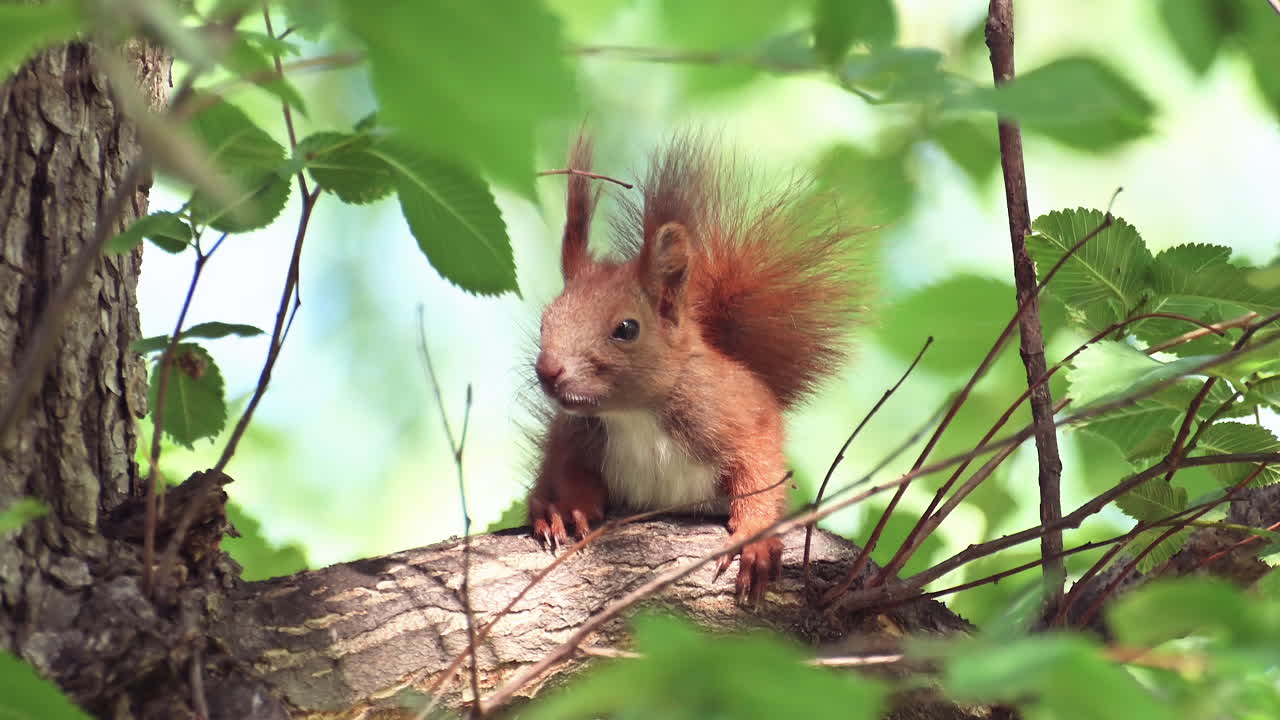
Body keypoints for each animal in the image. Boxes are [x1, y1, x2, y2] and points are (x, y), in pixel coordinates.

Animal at [528, 135, 864, 604]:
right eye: (545, 321)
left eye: (626, 328)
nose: (548, 371)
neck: (634, 414)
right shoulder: (573, 431)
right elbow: (566, 467)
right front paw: (568, 507)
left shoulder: (738, 416)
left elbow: (760, 468)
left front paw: (756, 539)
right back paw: (543, 509)